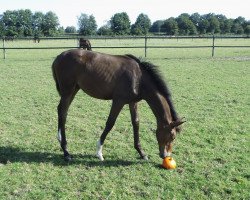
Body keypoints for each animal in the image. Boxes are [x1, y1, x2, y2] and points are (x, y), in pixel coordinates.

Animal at [51, 49, 185, 162]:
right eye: (173, 136)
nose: (166, 156)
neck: (139, 78)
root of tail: (59, 57)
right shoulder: (118, 101)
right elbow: (110, 123)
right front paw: (99, 152)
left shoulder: (133, 102)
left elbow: (136, 123)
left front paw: (141, 153)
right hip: (68, 91)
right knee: (63, 112)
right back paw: (66, 151)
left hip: (74, 90)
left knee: (62, 111)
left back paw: (60, 140)